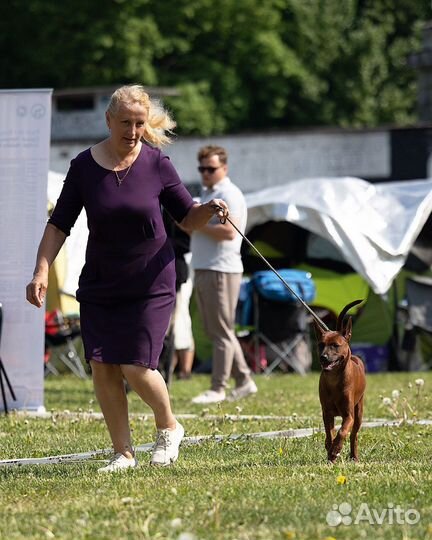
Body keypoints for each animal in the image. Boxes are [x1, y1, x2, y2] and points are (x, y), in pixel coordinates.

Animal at [316, 300, 366, 464]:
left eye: (335, 345)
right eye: (321, 345)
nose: (323, 357)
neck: (334, 378)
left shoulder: (348, 415)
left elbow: (342, 431)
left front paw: (336, 450)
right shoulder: (327, 413)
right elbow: (330, 433)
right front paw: (331, 452)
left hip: (359, 412)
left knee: (354, 435)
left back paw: (354, 456)